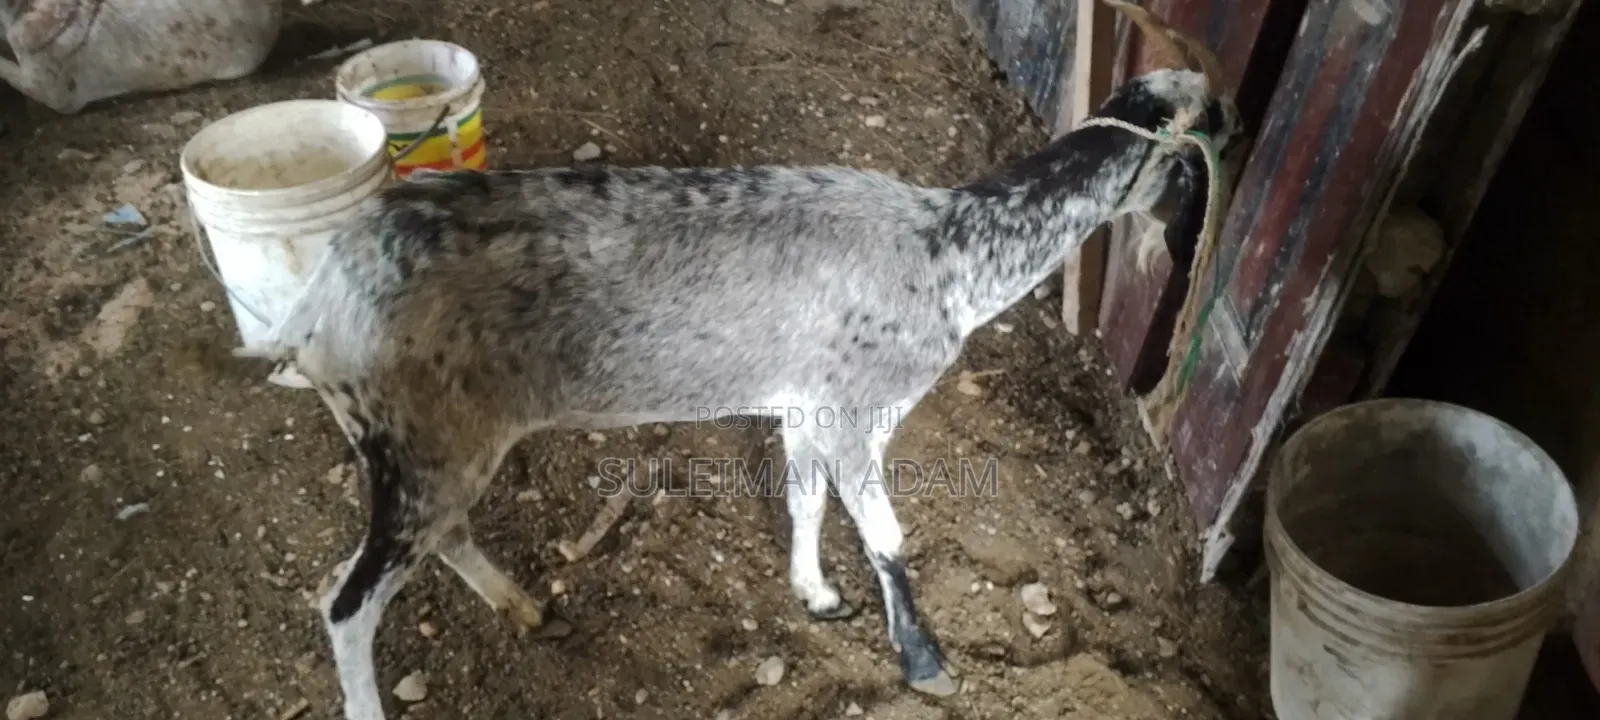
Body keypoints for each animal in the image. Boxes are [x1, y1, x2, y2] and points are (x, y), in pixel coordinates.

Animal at [239, 15, 1239, 720]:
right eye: (1207, 154)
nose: (1191, 261)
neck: (952, 252)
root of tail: (316, 303)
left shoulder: (805, 406)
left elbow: (805, 504)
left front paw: (816, 594)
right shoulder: (858, 408)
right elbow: (886, 535)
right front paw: (924, 661)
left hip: (433, 444)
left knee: (438, 539)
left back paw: (524, 607)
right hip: (417, 443)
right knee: (345, 604)